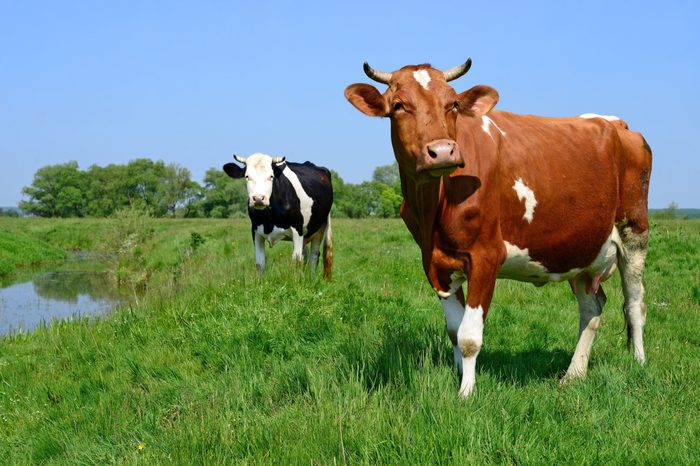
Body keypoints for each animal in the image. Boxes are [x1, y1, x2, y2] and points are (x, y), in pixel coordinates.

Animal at [344, 59, 652, 397]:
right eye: (398, 105)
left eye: (453, 104)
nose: (442, 151)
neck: (435, 207)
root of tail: (618, 124)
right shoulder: (435, 263)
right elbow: (454, 329)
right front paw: (458, 376)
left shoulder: (486, 257)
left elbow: (469, 336)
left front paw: (466, 393)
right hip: (580, 250)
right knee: (592, 309)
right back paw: (573, 374)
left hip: (634, 233)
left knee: (634, 304)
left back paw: (639, 364)